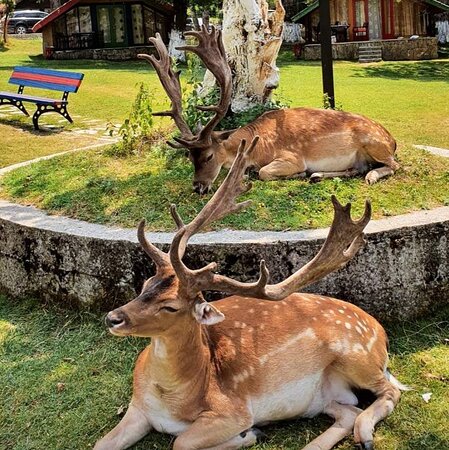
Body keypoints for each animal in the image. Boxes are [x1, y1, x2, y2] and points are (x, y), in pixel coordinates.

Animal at [93, 136, 402, 450]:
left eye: (170, 306)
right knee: (348, 410)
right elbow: (99, 444)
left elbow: (180, 442)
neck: (169, 400)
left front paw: (249, 434)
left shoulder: (233, 410)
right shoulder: (137, 407)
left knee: (389, 392)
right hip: (324, 396)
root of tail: (380, 331)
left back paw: (365, 434)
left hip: (358, 357)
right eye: (146, 285)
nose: (113, 318)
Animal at [139, 26, 400, 193]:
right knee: (357, 168)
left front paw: (294, 174)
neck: (258, 147)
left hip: (373, 143)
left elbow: (265, 172)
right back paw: (318, 176)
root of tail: (392, 139)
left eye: (209, 155)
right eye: (189, 156)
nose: (198, 187)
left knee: (394, 165)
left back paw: (369, 176)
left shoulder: (291, 157)